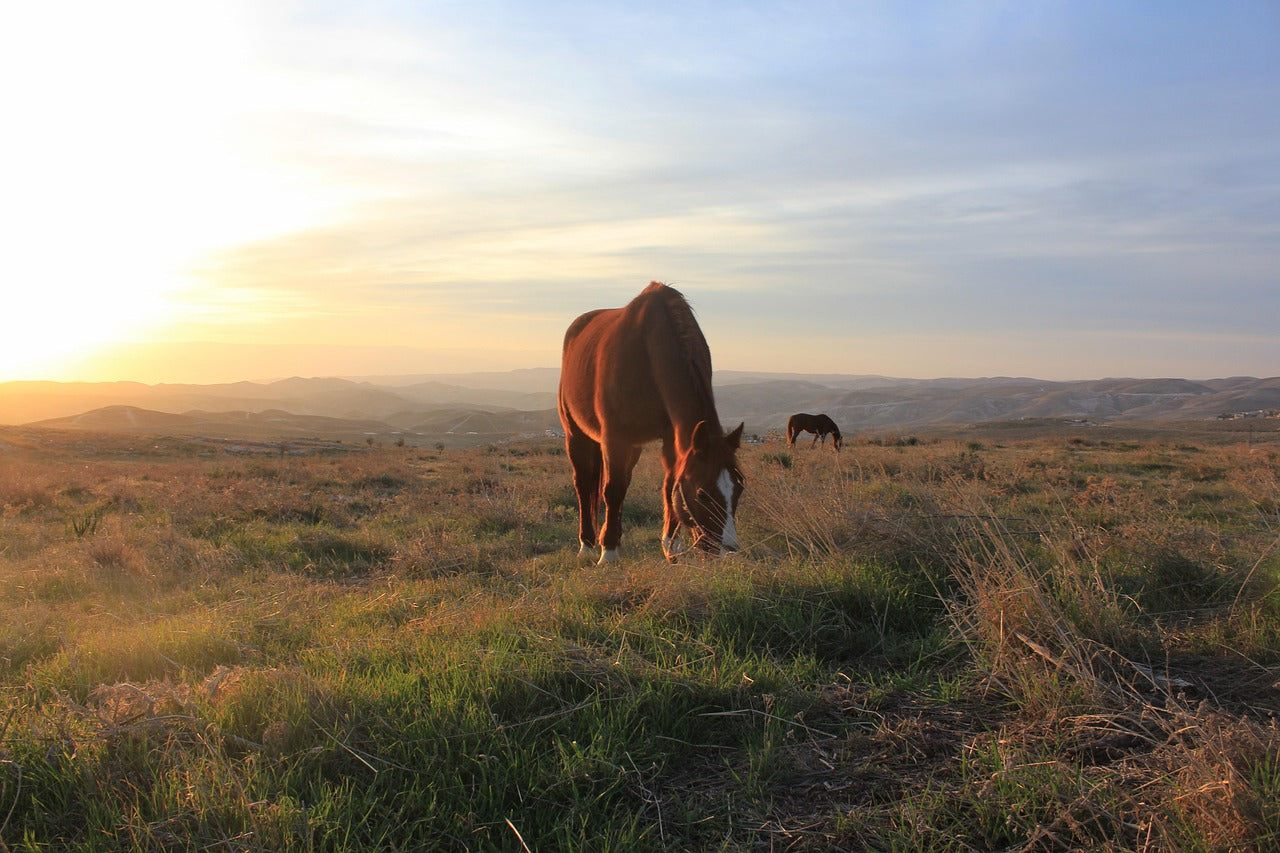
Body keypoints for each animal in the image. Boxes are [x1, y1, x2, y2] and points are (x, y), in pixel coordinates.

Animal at [558, 282, 745, 564]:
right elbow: (612, 490)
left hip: (633, 446)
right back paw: (589, 545)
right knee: (584, 485)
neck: (647, 351)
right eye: (702, 494)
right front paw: (608, 553)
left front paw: (670, 546)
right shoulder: (614, 438)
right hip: (576, 435)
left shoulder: (671, 437)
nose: (728, 551)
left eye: (739, 489)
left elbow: (669, 486)